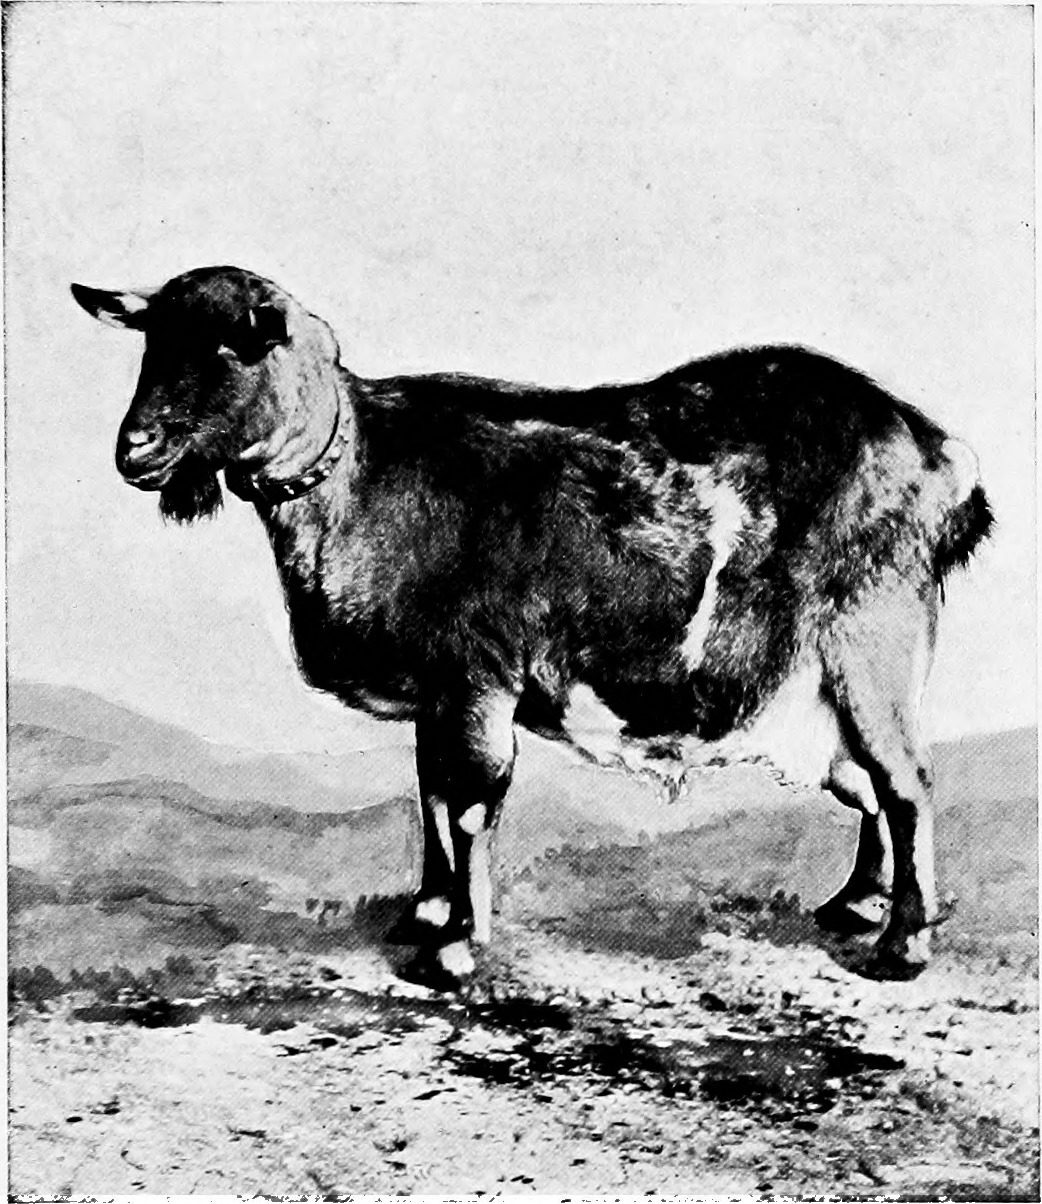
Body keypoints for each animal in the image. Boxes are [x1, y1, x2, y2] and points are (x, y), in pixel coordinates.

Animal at [72, 266, 993, 985]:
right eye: (150, 342)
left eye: (236, 346)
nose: (136, 449)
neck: (366, 471)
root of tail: (940, 454)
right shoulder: (437, 693)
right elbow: (432, 795)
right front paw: (424, 915)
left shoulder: (479, 677)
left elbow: (472, 802)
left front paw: (452, 952)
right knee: (868, 781)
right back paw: (853, 905)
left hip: (872, 641)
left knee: (906, 780)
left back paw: (902, 947)